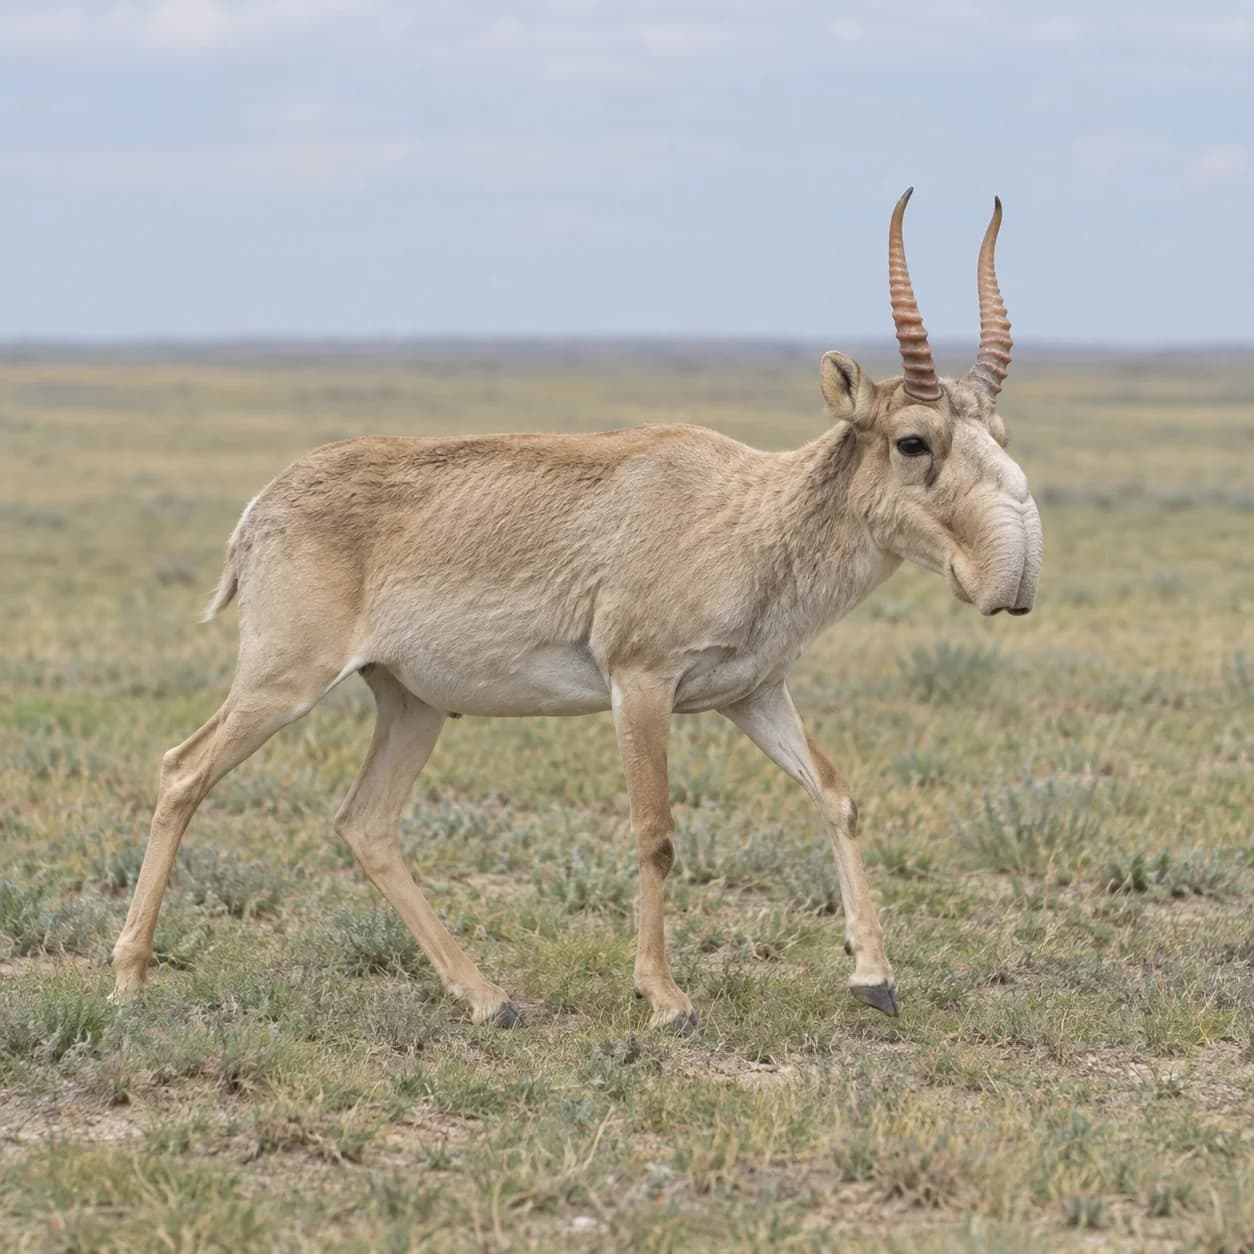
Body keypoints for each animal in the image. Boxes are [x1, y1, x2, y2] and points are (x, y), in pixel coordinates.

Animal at [110, 190, 1041, 1032]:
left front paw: (874, 979)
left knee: (365, 824)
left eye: (999, 432)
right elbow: (655, 830)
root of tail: (262, 505)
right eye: (913, 440)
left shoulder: (752, 693)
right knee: (183, 771)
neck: (747, 509)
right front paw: (666, 1000)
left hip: (409, 704)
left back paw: (489, 999)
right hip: (284, 682)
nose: (1017, 573)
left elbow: (838, 796)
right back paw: (129, 981)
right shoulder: (641, 682)